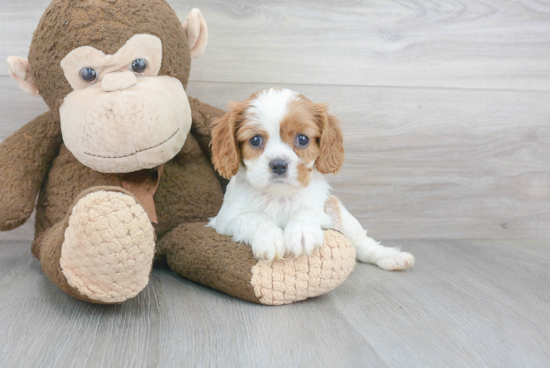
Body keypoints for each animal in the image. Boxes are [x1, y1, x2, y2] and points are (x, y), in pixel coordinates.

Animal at [209, 88, 416, 272]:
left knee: (364, 245)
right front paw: (269, 237)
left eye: (302, 139)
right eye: (255, 140)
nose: (279, 164)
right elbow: (255, 218)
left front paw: (302, 233)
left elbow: (306, 212)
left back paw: (392, 257)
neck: (279, 197)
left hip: (343, 216)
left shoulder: (322, 210)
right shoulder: (224, 219)